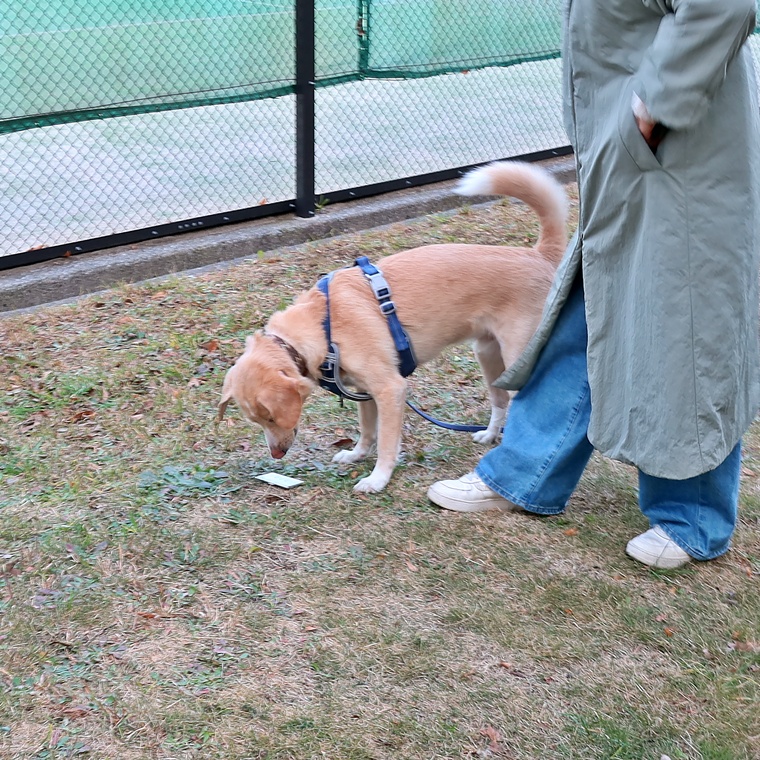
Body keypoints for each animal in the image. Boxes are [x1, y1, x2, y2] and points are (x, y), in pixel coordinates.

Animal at [217, 161, 568, 493]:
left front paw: (378, 479)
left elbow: (386, 443)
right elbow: (367, 431)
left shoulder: (390, 389)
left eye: (271, 416)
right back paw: (490, 436)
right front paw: (356, 454)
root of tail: (539, 255)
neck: (322, 325)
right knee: (500, 401)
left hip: (517, 356)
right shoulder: (364, 391)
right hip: (488, 355)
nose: (277, 454)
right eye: (257, 420)